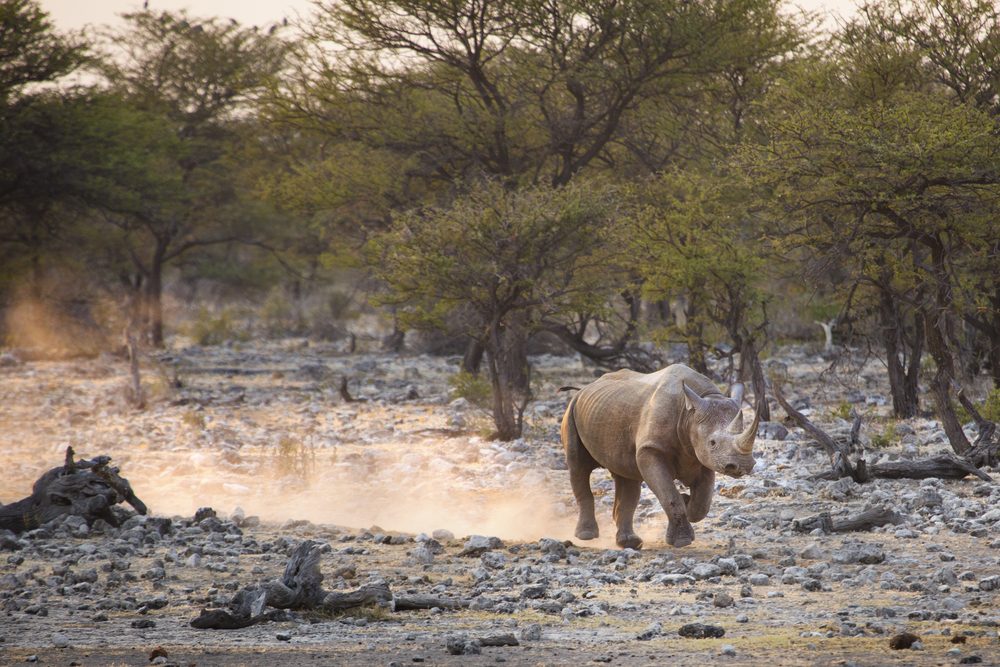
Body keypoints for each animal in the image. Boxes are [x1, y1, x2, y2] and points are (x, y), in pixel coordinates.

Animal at [560, 364, 760, 549]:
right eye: (712, 443)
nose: (742, 465)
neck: (690, 415)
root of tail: (584, 388)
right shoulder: (650, 449)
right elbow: (669, 495)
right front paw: (682, 540)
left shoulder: (701, 457)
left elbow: (703, 503)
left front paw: (687, 502)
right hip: (572, 411)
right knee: (578, 467)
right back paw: (586, 535)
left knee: (626, 478)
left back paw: (630, 543)